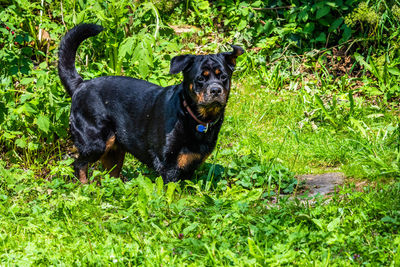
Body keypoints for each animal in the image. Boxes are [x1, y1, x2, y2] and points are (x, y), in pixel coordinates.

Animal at [57, 24, 244, 184]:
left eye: (223, 77)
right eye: (200, 79)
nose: (215, 90)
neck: (192, 116)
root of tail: (80, 85)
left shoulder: (190, 166)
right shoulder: (168, 166)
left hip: (115, 151)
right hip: (96, 142)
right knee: (79, 165)